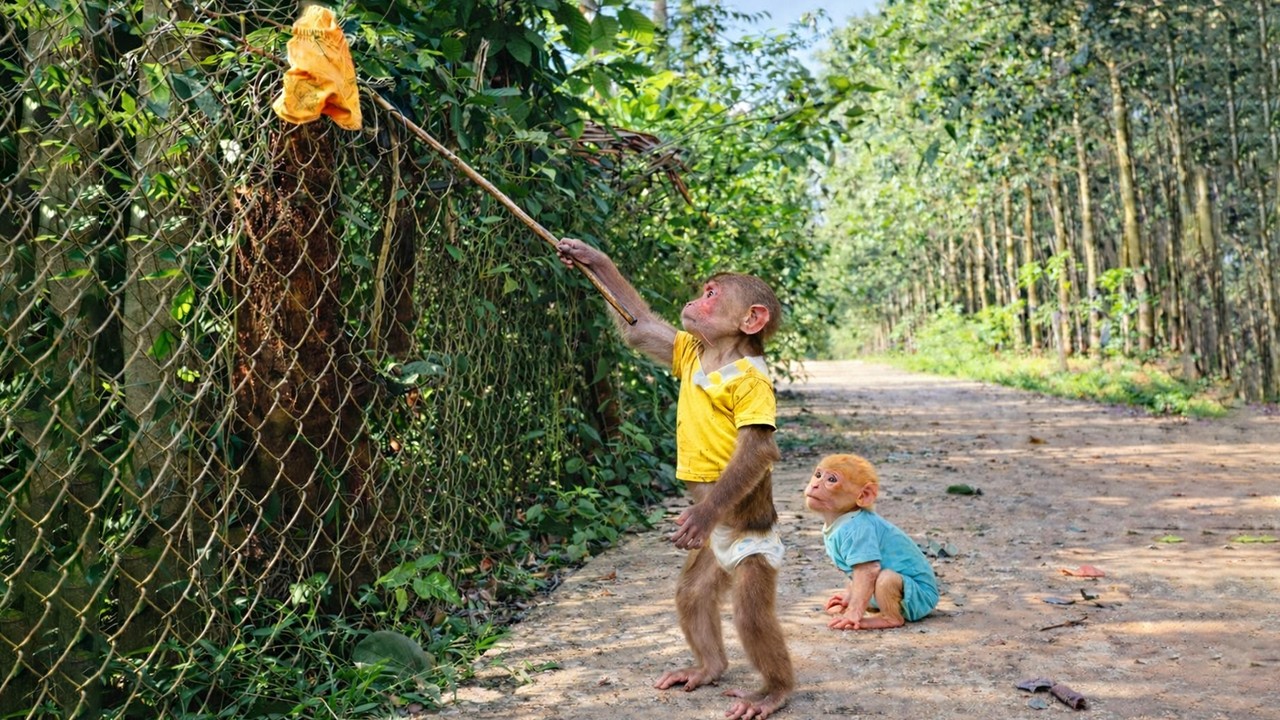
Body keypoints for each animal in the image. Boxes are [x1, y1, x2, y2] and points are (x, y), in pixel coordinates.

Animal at [556, 238, 794, 720]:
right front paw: (585, 255)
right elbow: (641, 328)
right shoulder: (690, 347)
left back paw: (774, 692)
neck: (722, 355)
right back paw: (708, 668)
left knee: (751, 615)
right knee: (693, 593)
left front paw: (700, 512)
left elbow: (757, 449)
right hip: (712, 556)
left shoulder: (755, 388)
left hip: (756, 554)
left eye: (712, 295)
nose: (694, 300)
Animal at [803, 453, 938, 630]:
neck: (843, 517)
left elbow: (867, 571)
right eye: (818, 475)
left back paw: (888, 620)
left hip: (918, 600)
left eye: (831, 479)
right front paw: (845, 600)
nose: (815, 485)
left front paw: (850, 617)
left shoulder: (860, 532)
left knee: (886, 578)